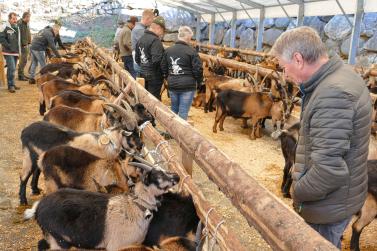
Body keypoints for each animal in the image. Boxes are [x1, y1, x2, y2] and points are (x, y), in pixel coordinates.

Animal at [24, 163, 180, 251]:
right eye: (158, 175)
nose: (177, 177)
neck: (135, 208)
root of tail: (38, 208)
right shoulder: (116, 246)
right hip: (59, 240)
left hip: (51, 236)